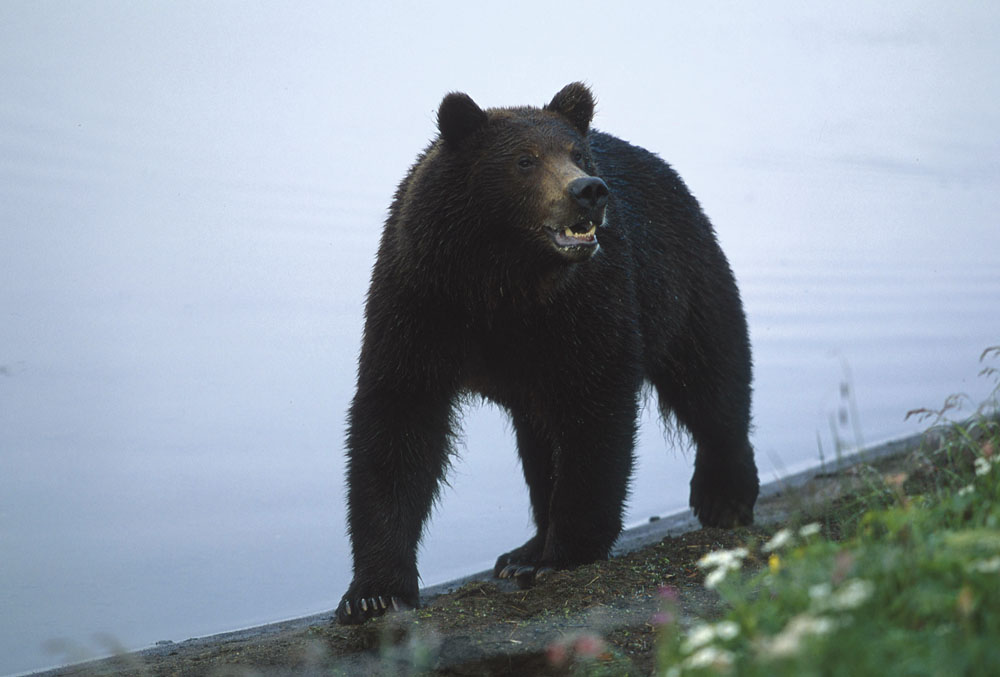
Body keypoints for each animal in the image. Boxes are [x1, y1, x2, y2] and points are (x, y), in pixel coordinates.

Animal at [336, 83, 756, 624]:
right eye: (524, 160)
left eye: (577, 155)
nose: (589, 190)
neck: (503, 280)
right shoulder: (419, 301)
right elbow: (396, 420)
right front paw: (374, 592)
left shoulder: (586, 306)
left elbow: (594, 417)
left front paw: (563, 554)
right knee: (538, 442)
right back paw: (522, 550)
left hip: (680, 280)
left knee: (711, 378)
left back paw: (725, 496)